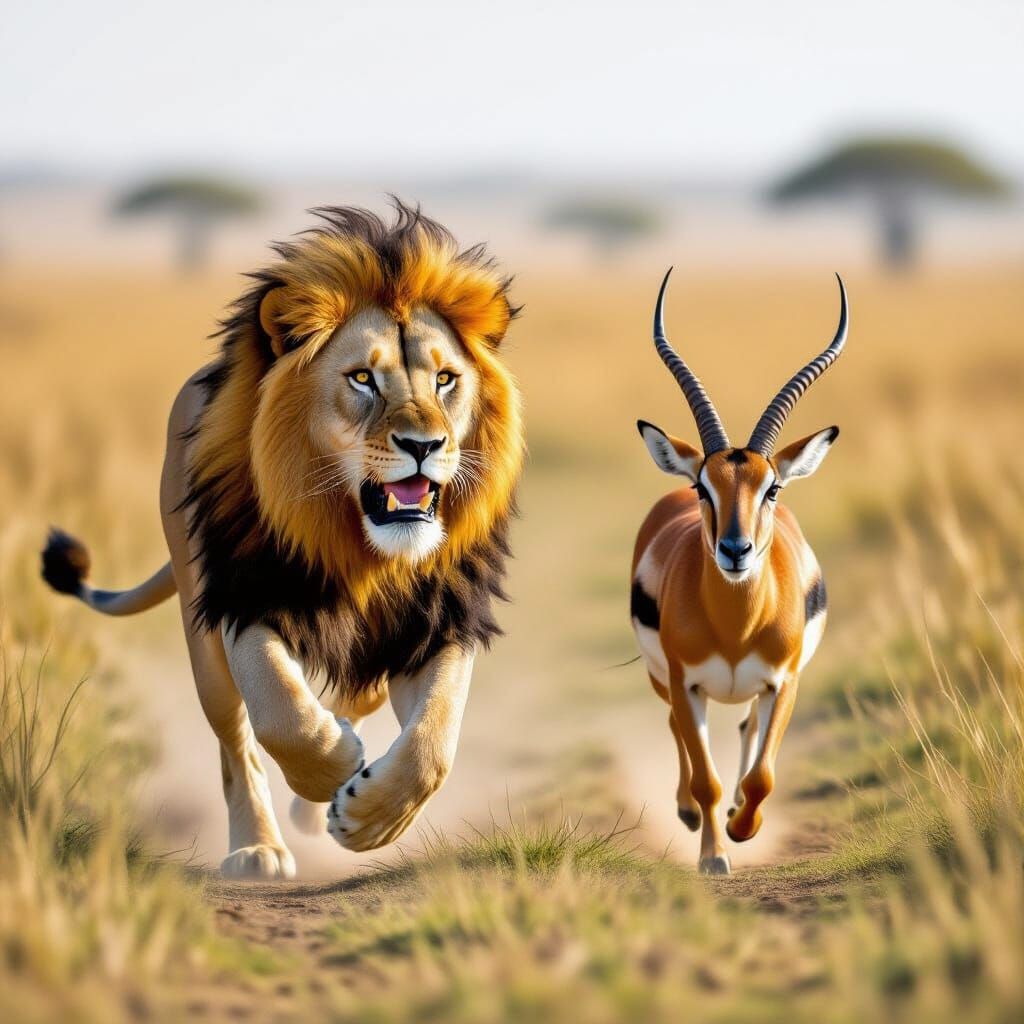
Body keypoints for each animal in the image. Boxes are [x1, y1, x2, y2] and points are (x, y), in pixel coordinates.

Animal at [41, 202, 524, 879]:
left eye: (446, 380)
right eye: (362, 379)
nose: (425, 446)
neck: (362, 553)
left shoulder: (439, 617)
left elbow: (433, 743)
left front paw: (368, 816)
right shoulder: (242, 598)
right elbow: (280, 715)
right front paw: (333, 767)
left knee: (363, 694)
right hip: (201, 632)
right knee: (235, 741)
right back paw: (259, 848)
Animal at [631, 270, 847, 874]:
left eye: (771, 488)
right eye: (703, 487)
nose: (735, 549)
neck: (735, 627)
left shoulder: (785, 682)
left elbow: (762, 778)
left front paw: (740, 827)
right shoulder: (686, 681)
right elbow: (705, 777)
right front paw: (714, 855)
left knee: (747, 729)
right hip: (662, 679)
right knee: (676, 729)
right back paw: (687, 815)